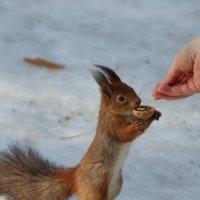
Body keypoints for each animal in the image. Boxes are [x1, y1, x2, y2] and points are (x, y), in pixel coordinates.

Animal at [0, 66, 160, 200]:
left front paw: (154, 114)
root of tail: (75, 178)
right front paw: (140, 123)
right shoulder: (111, 126)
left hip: (116, 186)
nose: (138, 101)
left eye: (131, 87)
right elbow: (124, 134)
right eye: (121, 98)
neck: (120, 114)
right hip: (96, 186)